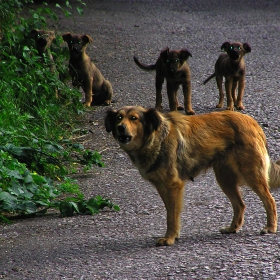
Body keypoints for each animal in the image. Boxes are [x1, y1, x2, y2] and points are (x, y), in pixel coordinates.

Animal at [105, 106, 280, 246]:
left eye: (134, 118)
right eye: (119, 117)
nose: (120, 127)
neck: (156, 138)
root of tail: (252, 121)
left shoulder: (173, 185)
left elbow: (171, 215)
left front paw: (169, 238)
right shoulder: (162, 186)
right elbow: (171, 212)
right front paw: (173, 235)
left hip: (251, 174)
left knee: (269, 200)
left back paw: (270, 227)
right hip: (224, 178)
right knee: (240, 205)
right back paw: (232, 228)